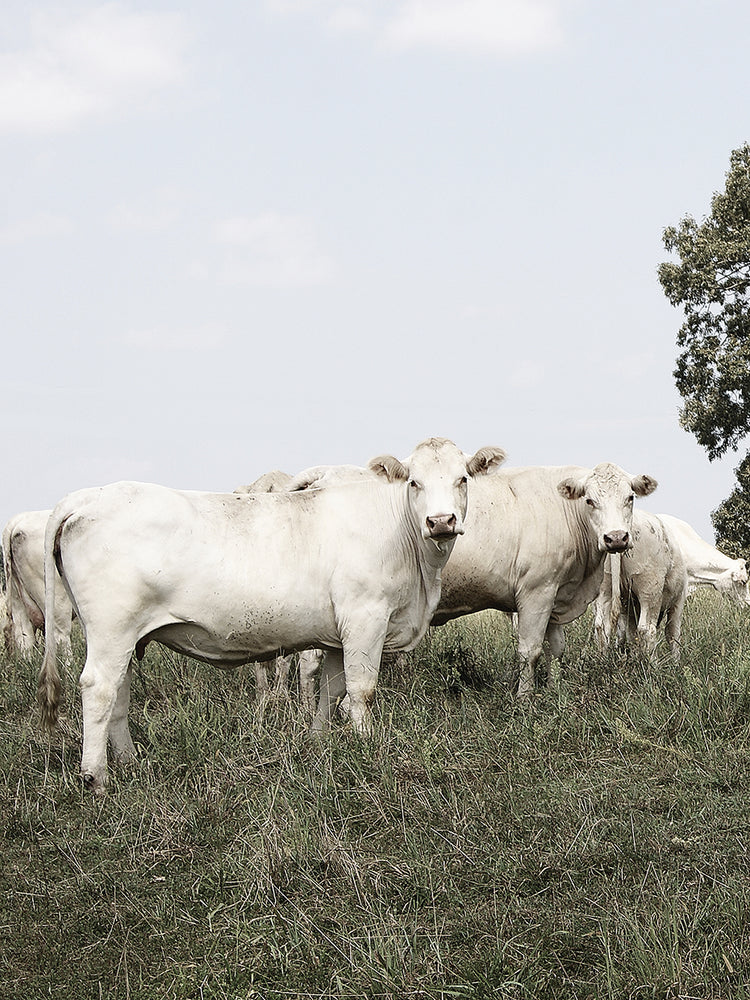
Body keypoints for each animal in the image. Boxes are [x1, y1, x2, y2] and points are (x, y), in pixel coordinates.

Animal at [37, 437, 506, 793]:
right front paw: (368, 747)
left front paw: (319, 745)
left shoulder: (337, 635)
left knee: (118, 692)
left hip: (124, 635)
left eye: (462, 479)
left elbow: (330, 691)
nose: (441, 521)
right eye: (414, 482)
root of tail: (88, 496)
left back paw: (131, 762)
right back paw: (96, 777)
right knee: (98, 688)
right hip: (111, 628)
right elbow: (361, 690)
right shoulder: (365, 618)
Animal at [431, 463, 658, 697]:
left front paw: (555, 691)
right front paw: (524, 698)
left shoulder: (554, 594)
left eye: (630, 497)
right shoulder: (536, 593)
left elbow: (556, 648)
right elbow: (530, 651)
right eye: (589, 500)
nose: (616, 538)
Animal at [593, 510, 688, 661]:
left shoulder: (629, 611)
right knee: (647, 628)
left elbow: (632, 634)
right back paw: (653, 663)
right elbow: (673, 634)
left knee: (601, 625)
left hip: (604, 587)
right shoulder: (678, 601)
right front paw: (676, 662)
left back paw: (603, 660)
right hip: (649, 589)